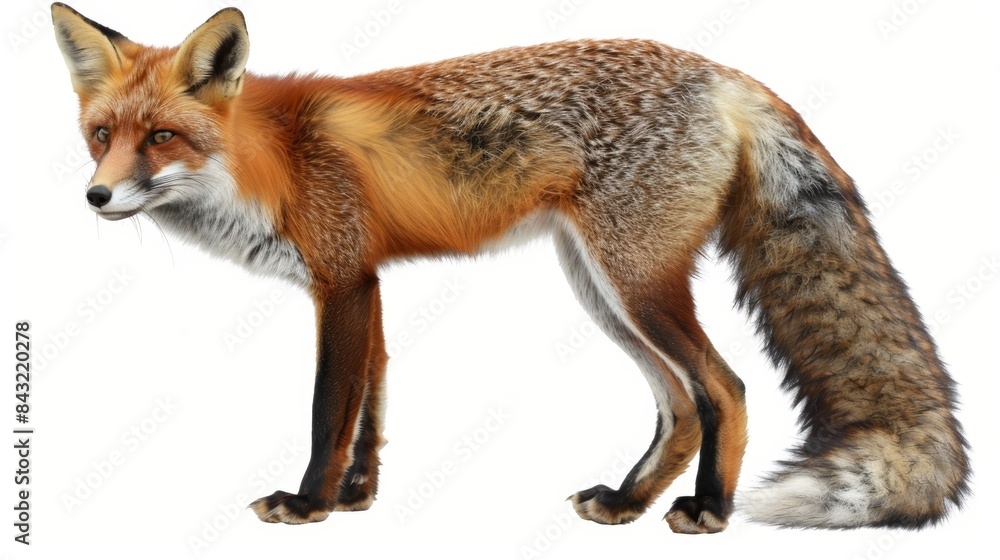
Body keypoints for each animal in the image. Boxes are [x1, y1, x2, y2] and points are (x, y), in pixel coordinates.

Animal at [51, 3, 970, 533]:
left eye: (161, 138)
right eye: (101, 135)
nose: (95, 197)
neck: (267, 161)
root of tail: (722, 74)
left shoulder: (340, 281)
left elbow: (326, 412)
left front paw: (308, 504)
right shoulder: (368, 284)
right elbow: (371, 412)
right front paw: (356, 499)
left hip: (634, 283)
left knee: (727, 389)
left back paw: (709, 509)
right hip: (600, 286)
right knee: (681, 404)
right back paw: (626, 503)